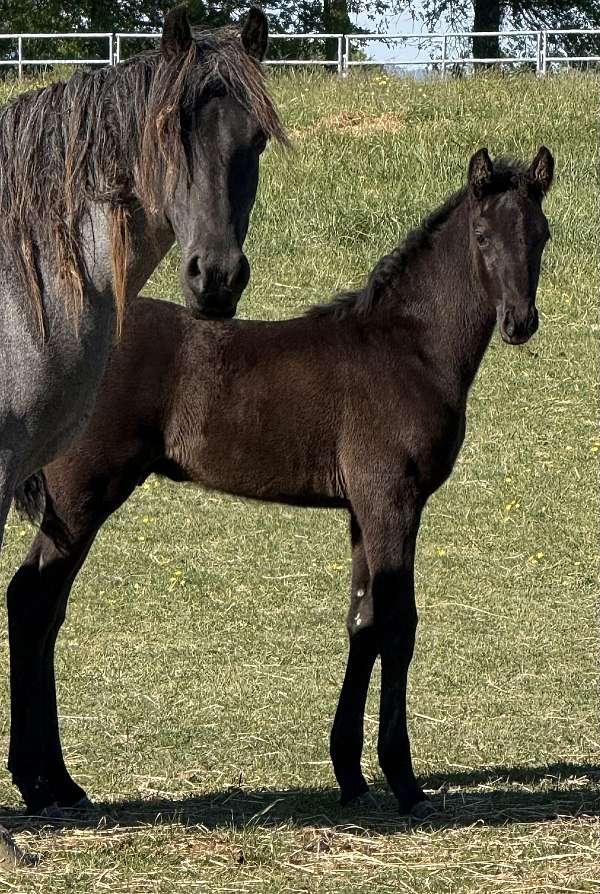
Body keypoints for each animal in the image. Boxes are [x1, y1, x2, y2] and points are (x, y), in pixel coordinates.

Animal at [8, 147, 554, 817]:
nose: (519, 322)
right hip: (82, 494)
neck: (409, 348)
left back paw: (59, 782)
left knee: (43, 609)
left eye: (542, 234)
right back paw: (38, 783)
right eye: (482, 235)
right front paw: (404, 782)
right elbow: (399, 625)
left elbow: (363, 622)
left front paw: (350, 773)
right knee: (32, 602)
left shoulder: (362, 508)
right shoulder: (393, 500)